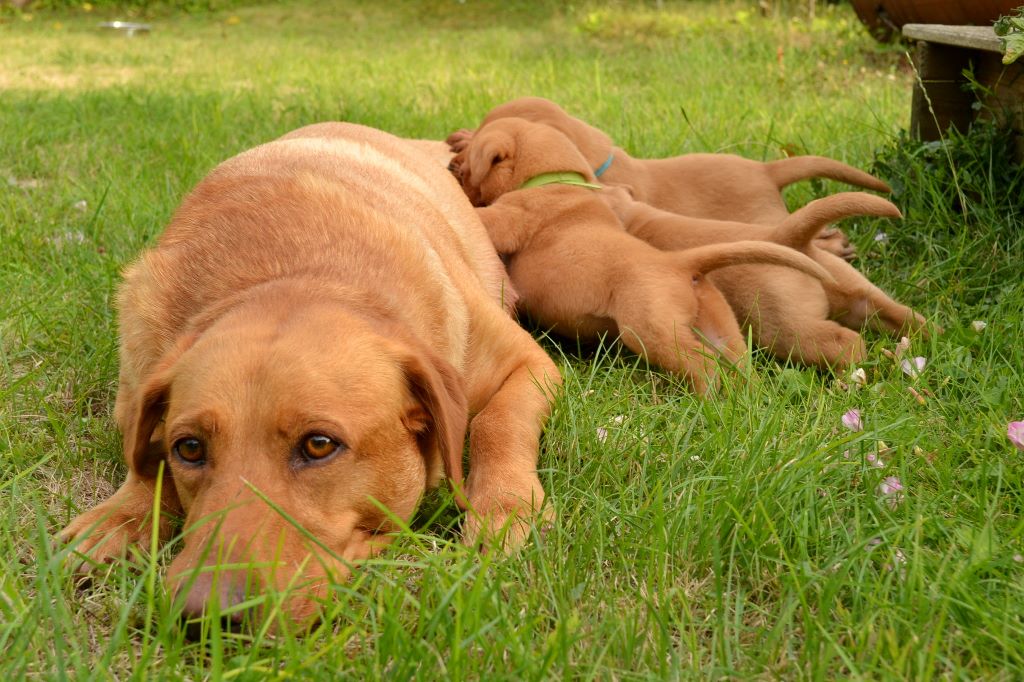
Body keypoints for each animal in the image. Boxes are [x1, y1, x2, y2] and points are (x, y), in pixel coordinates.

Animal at [57, 120, 561, 626]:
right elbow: (145, 463)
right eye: (190, 448)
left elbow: (497, 423)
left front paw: (504, 506)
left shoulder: (530, 364)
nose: (205, 617)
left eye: (319, 445)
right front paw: (125, 515)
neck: (297, 272)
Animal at [602, 187, 933, 366]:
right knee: (909, 317)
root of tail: (786, 237)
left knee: (844, 343)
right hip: (861, 298)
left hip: (784, 328)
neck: (636, 216)